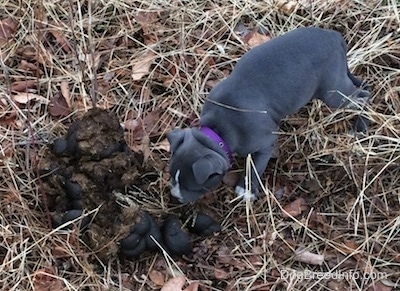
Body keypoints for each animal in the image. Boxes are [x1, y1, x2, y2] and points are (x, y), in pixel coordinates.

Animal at [166, 28, 368, 205]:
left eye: (192, 187)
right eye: (172, 176)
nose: (174, 197)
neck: (218, 130)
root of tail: (334, 36)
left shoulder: (265, 143)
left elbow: (256, 166)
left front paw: (246, 190)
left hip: (332, 92)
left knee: (363, 97)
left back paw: (361, 128)